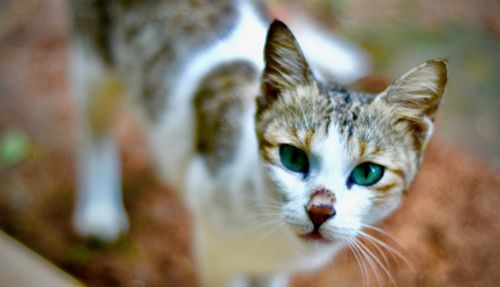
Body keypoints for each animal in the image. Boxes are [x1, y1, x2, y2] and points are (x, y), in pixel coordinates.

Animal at [68, 0, 448, 287]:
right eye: (292, 158)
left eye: (368, 173)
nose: (319, 211)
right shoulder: (215, 253)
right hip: (95, 63)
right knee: (95, 127)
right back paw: (100, 209)